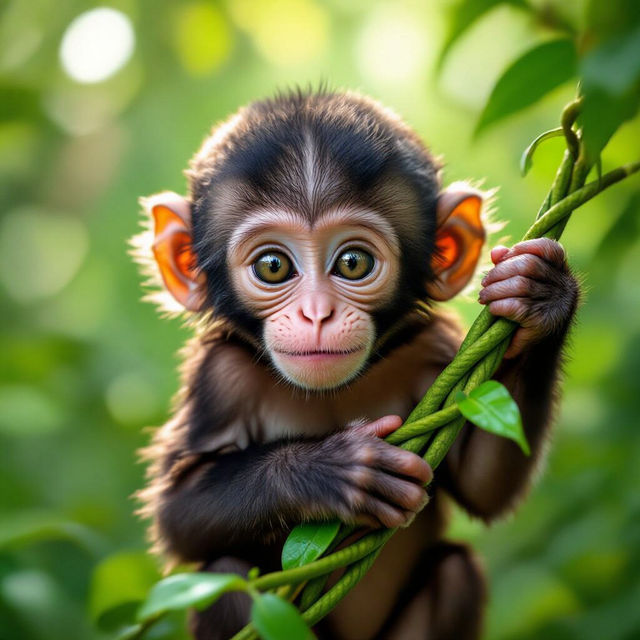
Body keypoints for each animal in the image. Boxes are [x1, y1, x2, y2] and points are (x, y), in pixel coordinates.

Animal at [133, 89, 579, 640]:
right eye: (273, 266)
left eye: (352, 263)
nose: (317, 313)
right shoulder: (219, 378)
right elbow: (177, 513)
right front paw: (332, 470)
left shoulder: (431, 348)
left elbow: (484, 485)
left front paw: (541, 296)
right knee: (227, 579)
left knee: (456, 571)